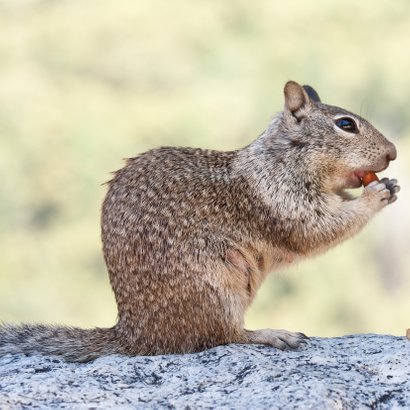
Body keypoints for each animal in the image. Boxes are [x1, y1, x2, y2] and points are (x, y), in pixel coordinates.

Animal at [0, 81, 398, 362]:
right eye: (346, 125)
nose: (393, 153)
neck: (283, 157)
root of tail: (134, 334)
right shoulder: (282, 200)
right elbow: (317, 230)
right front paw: (376, 195)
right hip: (218, 286)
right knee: (221, 337)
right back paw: (272, 334)